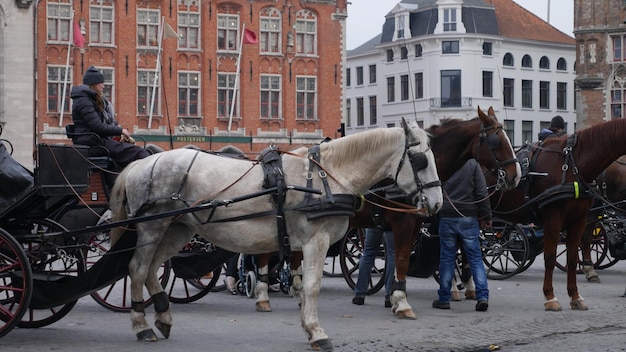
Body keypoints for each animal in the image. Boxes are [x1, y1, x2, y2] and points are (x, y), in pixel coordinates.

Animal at [107, 119, 438, 352]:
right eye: (420, 160)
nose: (436, 204)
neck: (325, 176)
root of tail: (143, 162)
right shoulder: (315, 241)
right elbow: (313, 286)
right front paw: (316, 332)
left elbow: (302, 283)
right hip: (152, 227)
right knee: (137, 269)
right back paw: (141, 325)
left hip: (176, 229)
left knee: (152, 269)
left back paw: (162, 318)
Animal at [251, 105, 520, 316]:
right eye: (496, 142)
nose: (516, 176)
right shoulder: (403, 225)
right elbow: (400, 259)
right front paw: (401, 302)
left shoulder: (413, 226)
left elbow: (400, 260)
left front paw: (394, 296)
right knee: (265, 255)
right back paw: (263, 296)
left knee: (295, 257)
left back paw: (297, 294)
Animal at [486, 119, 624, 310]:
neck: (572, 164)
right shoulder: (553, 218)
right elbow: (550, 257)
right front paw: (550, 297)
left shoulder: (579, 219)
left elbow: (572, 257)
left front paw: (575, 296)